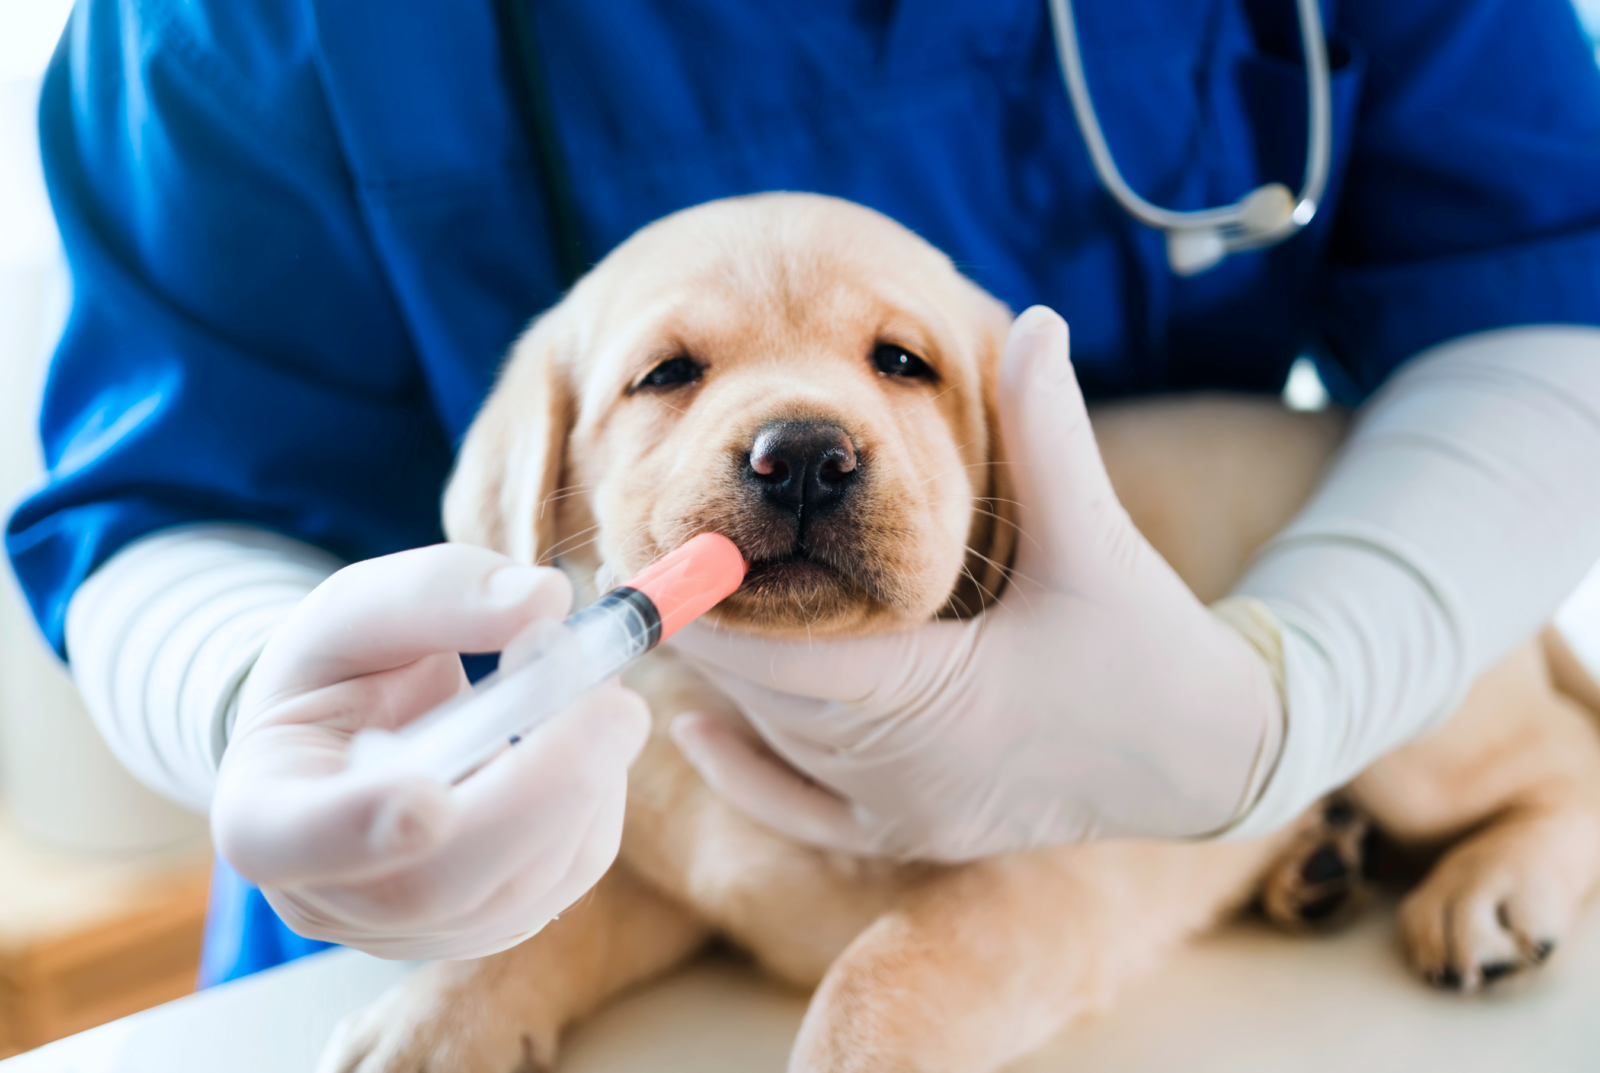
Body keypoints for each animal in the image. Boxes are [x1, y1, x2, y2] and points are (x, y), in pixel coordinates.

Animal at [318, 193, 1600, 1073]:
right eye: (667, 374)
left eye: (902, 363)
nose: (803, 453)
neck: (772, 705)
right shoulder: (674, 866)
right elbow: (550, 917)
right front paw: (435, 1015)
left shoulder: (1046, 867)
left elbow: (878, 974)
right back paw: (1312, 861)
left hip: (1433, 741)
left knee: (1562, 760)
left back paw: (1489, 885)